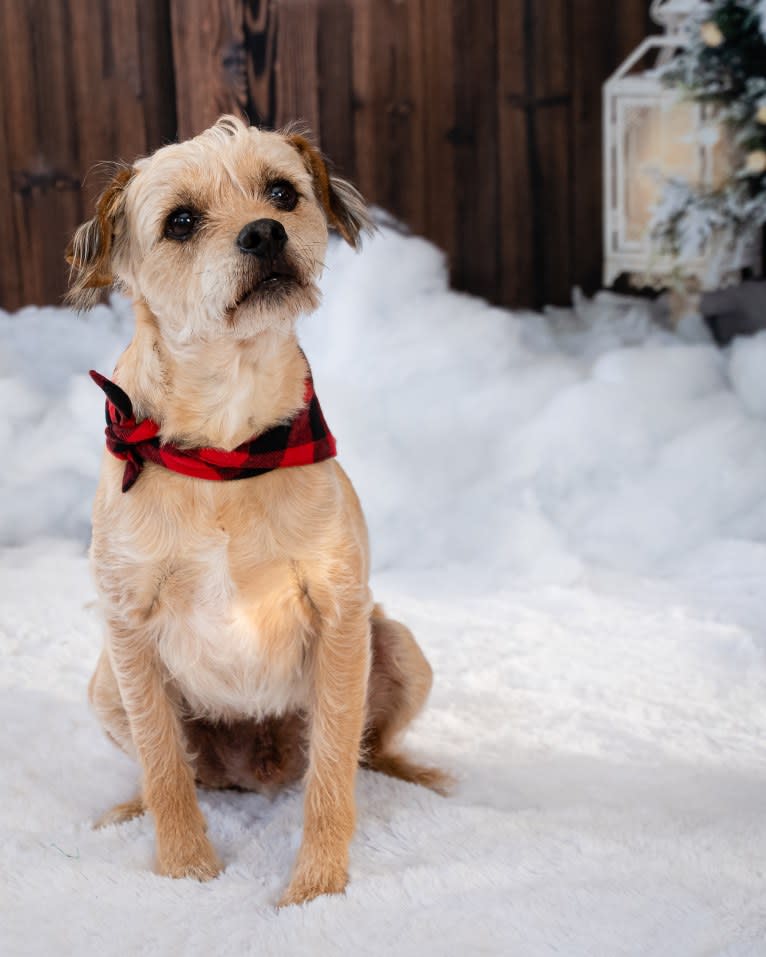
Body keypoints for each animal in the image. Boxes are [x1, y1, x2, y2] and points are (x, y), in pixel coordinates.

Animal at [70, 114, 450, 904]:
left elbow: (333, 769)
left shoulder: (339, 615)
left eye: (282, 192)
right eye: (181, 221)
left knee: (370, 751)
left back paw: (416, 777)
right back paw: (128, 808)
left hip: (399, 644)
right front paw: (186, 873)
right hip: (104, 683)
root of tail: (258, 766)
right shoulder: (128, 630)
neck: (226, 447)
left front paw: (316, 892)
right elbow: (164, 765)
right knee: (173, 769)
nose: (265, 234)